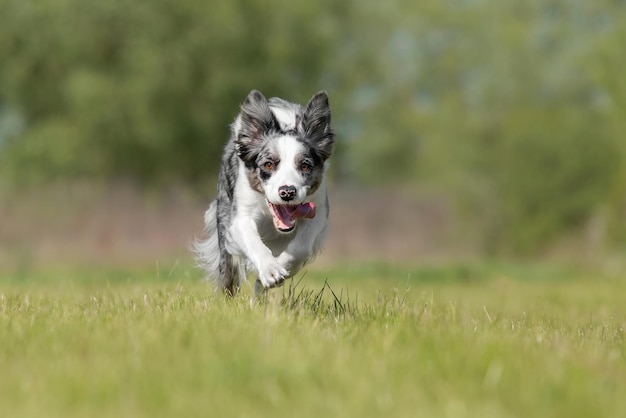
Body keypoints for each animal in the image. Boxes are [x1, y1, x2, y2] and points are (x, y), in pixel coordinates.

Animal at [195, 90, 334, 296]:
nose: (287, 192)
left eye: (305, 166)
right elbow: (253, 241)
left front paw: (280, 267)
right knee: (228, 274)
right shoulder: (240, 217)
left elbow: (301, 246)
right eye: (268, 164)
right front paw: (271, 270)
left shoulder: (318, 212)